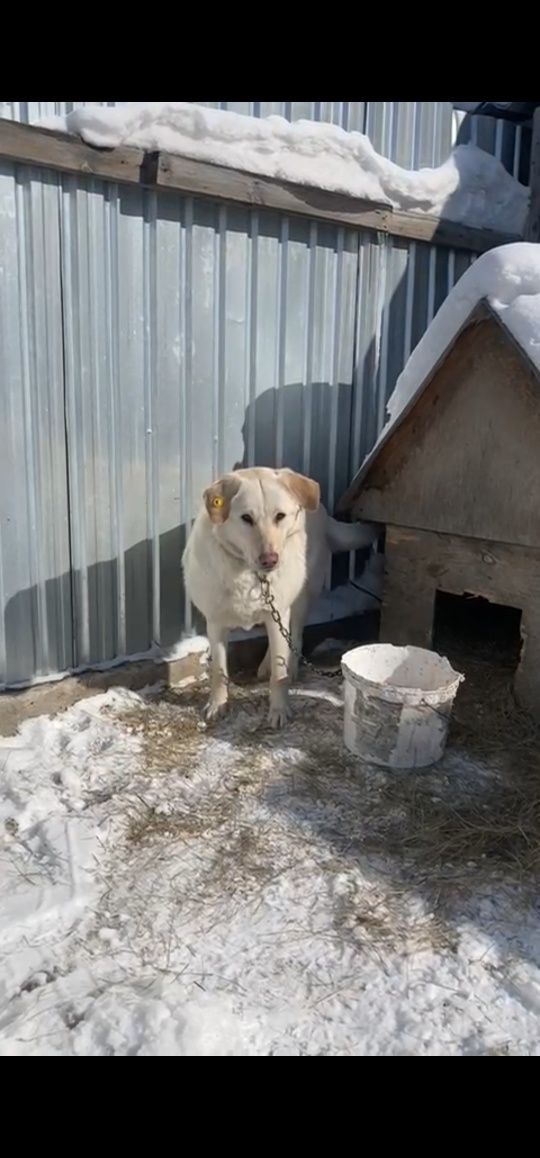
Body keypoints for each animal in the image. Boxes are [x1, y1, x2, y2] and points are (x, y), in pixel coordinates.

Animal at [183, 467, 377, 722]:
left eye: (280, 516)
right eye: (246, 518)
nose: (270, 559)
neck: (249, 574)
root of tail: (322, 511)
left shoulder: (280, 612)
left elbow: (279, 671)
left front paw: (279, 710)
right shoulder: (215, 623)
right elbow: (219, 671)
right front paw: (218, 704)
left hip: (301, 596)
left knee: (295, 636)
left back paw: (291, 667)